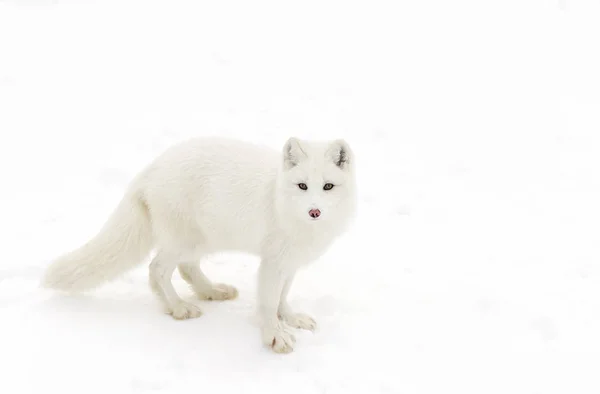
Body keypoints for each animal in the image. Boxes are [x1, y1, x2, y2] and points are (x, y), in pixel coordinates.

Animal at [44, 136, 358, 354]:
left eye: (328, 186)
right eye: (302, 186)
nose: (314, 211)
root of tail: (152, 167)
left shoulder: (289, 262)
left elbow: (282, 297)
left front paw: (290, 319)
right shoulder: (272, 262)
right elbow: (269, 302)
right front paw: (274, 335)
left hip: (204, 240)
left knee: (186, 268)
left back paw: (212, 291)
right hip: (185, 240)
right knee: (157, 269)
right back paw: (178, 307)